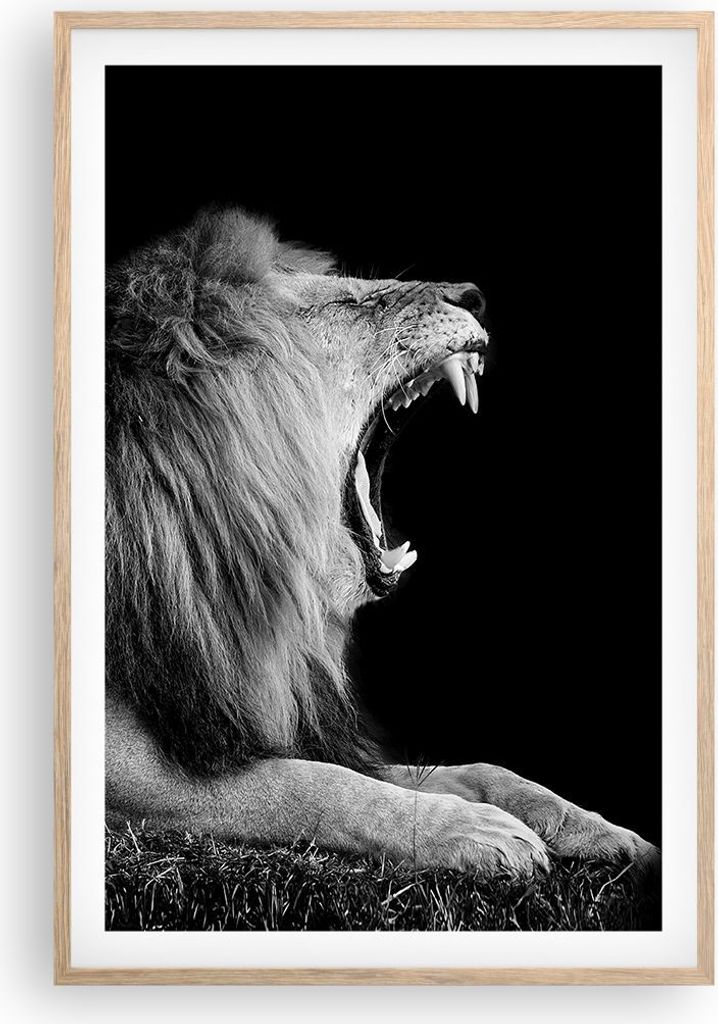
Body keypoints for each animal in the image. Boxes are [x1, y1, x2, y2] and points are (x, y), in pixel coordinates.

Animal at [106, 207, 658, 879]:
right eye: (346, 302)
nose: (474, 296)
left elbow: (472, 768)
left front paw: (600, 829)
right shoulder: (132, 765)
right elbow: (308, 783)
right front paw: (473, 829)